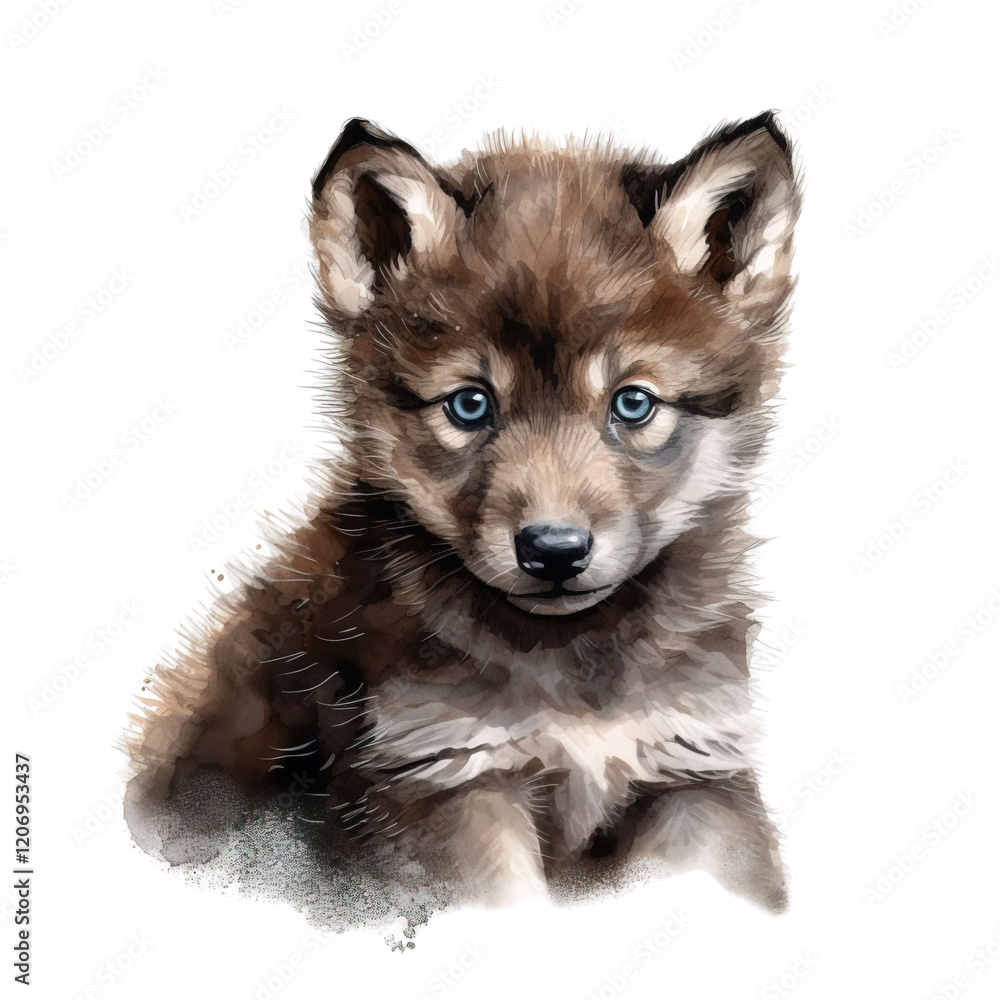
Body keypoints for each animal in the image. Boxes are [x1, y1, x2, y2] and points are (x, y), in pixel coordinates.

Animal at [125, 112, 801, 915]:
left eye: (633, 403)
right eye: (470, 405)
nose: (553, 549)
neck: (574, 671)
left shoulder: (697, 775)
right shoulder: (446, 782)